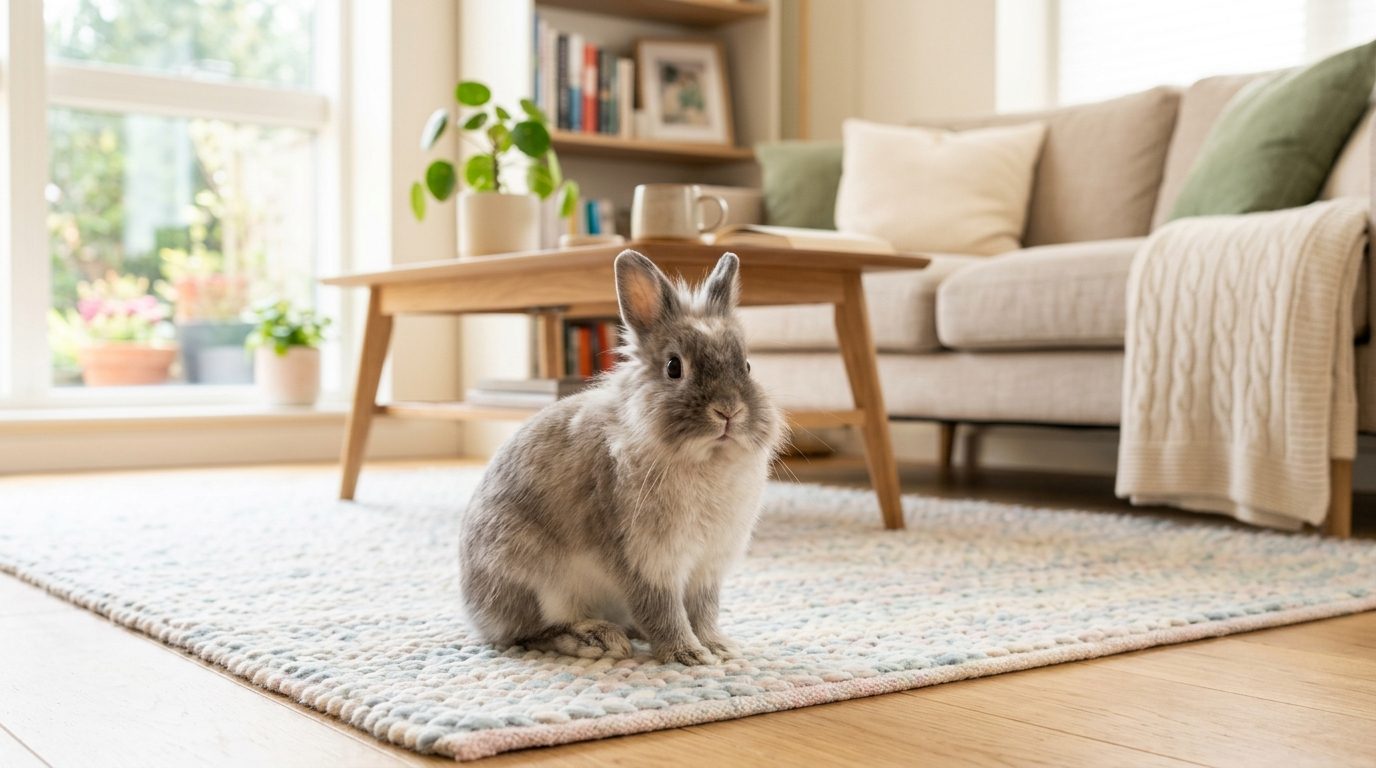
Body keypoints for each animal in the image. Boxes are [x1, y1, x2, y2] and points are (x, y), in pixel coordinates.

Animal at [459, 249, 784, 665]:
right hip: (530, 578)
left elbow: (703, 611)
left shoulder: (706, 568)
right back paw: (597, 639)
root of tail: (476, 610)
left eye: (746, 365)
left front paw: (719, 647)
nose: (728, 411)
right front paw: (687, 655)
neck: (706, 460)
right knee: (530, 633)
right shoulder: (646, 561)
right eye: (674, 367)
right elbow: (663, 610)